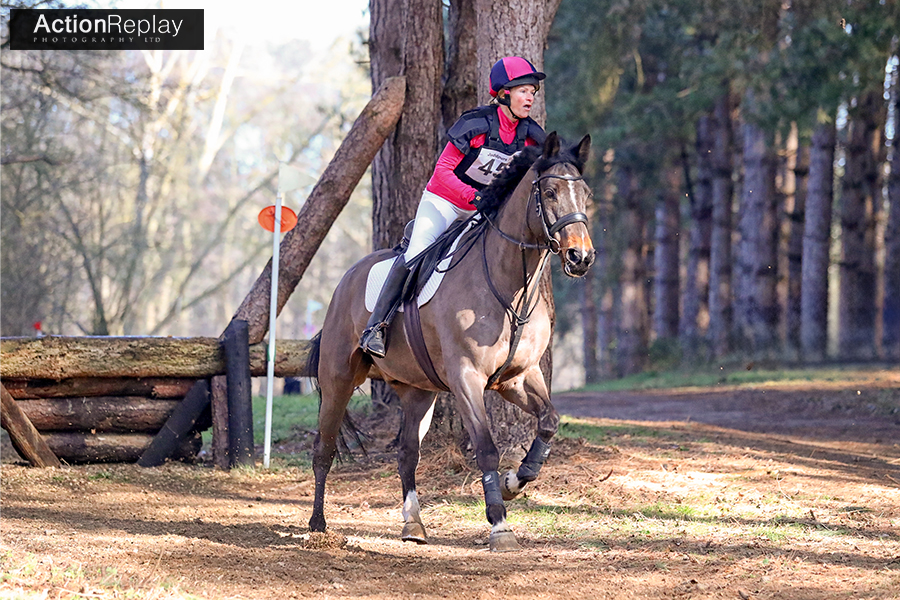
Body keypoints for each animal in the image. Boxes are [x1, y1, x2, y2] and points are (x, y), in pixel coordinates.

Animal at [305, 132, 595, 551]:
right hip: (338, 378)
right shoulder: (466, 378)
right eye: (550, 191)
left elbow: (548, 422)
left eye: (586, 194)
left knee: (407, 452)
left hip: (417, 390)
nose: (581, 256)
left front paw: (514, 482)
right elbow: (487, 448)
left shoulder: (519, 377)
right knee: (324, 449)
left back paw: (413, 524)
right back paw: (317, 524)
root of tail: (348, 278)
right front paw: (499, 523)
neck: (511, 286)